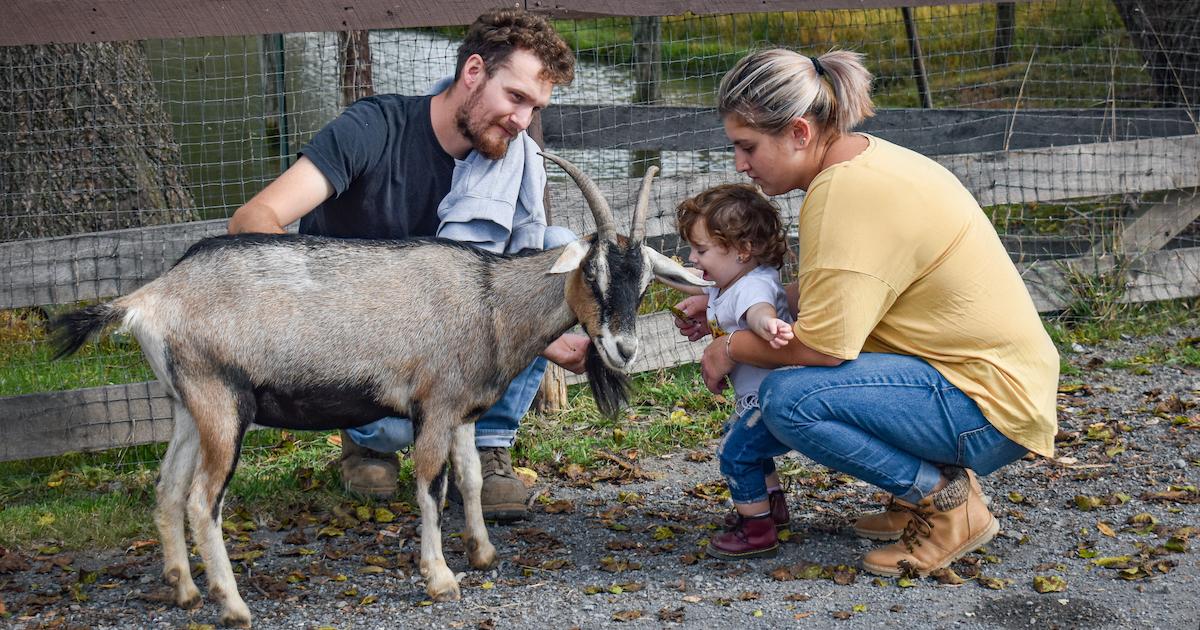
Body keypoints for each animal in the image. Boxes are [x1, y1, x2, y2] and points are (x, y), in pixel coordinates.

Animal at [51, 151, 710, 624]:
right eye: (592, 275)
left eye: (644, 282)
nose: (623, 349)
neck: (489, 302)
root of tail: (148, 299)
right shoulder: (434, 406)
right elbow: (430, 487)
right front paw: (440, 578)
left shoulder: (461, 411)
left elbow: (471, 479)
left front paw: (482, 553)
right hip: (221, 406)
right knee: (199, 501)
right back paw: (233, 606)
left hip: (189, 407)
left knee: (166, 492)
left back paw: (185, 592)